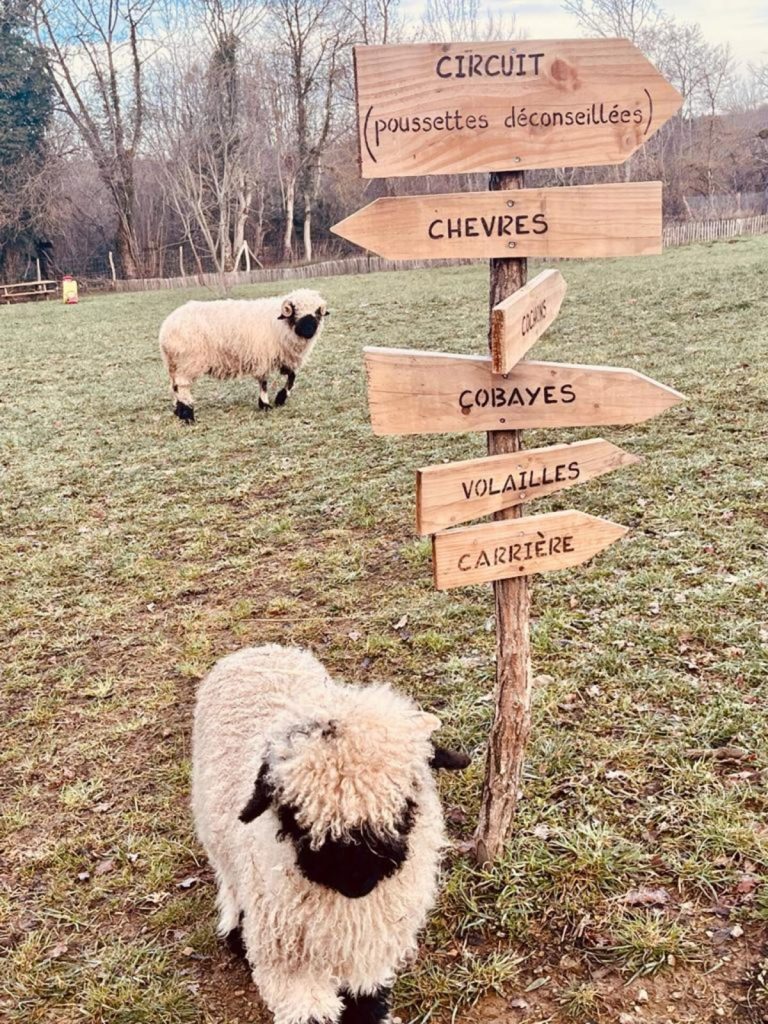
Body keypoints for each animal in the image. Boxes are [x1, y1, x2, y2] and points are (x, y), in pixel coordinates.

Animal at [159, 286, 331, 421]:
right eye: (295, 311)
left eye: (317, 313)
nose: (309, 330)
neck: (280, 324)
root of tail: (166, 328)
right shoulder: (263, 356)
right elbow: (264, 382)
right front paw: (265, 404)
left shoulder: (286, 357)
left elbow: (291, 378)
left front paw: (280, 398)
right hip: (188, 360)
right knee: (182, 386)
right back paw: (188, 415)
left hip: (174, 363)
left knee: (174, 386)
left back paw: (178, 411)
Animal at [192, 647, 468, 1024]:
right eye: (294, 812)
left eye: (407, 803)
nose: (356, 880)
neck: (345, 911)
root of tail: (259, 649)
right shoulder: (290, 966)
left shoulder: (369, 954)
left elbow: (366, 1004)